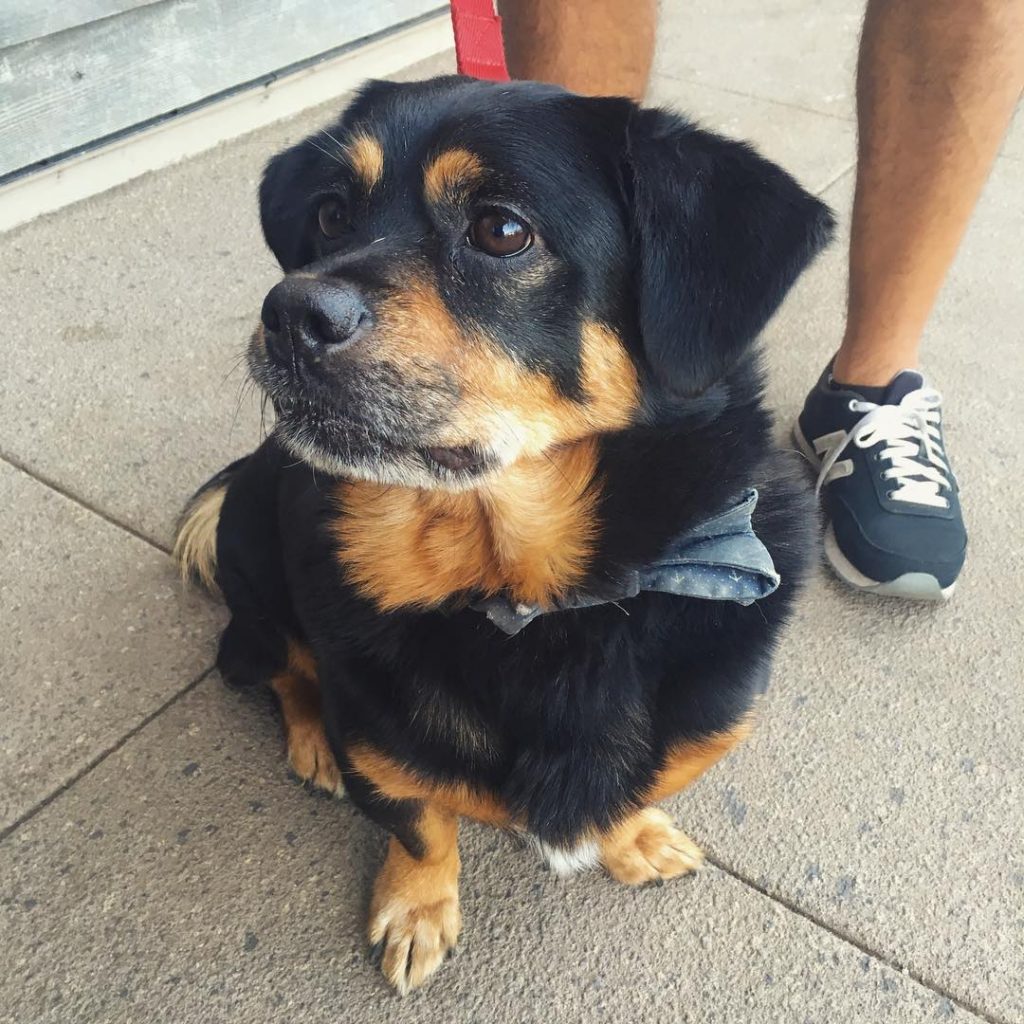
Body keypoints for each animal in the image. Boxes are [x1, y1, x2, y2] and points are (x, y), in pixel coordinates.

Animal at [174, 77, 831, 991]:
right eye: (333, 214)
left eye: (501, 230)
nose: (288, 310)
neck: (529, 599)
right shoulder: (381, 748)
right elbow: (421, 826)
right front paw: (417, 909)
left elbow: (631, 792)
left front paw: (632, 839)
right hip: (258, 595)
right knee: (276, 670)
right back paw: (310, 740)